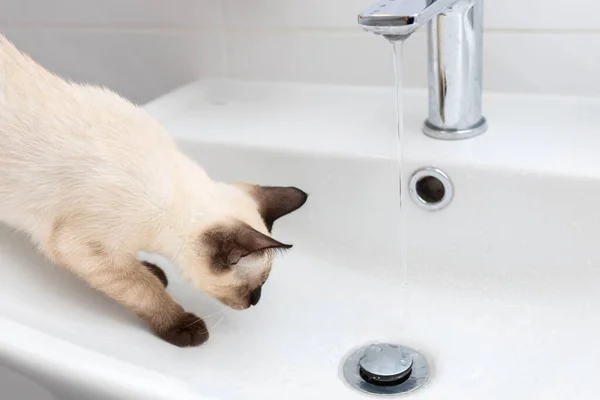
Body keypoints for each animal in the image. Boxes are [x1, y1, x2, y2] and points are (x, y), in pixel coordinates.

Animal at [0, 35, 310, 346]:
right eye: (257, 286)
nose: (255, 302)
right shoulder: (85, 248)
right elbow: (143, 288)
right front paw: (183, 325)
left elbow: (139, 272)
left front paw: (153, 270)